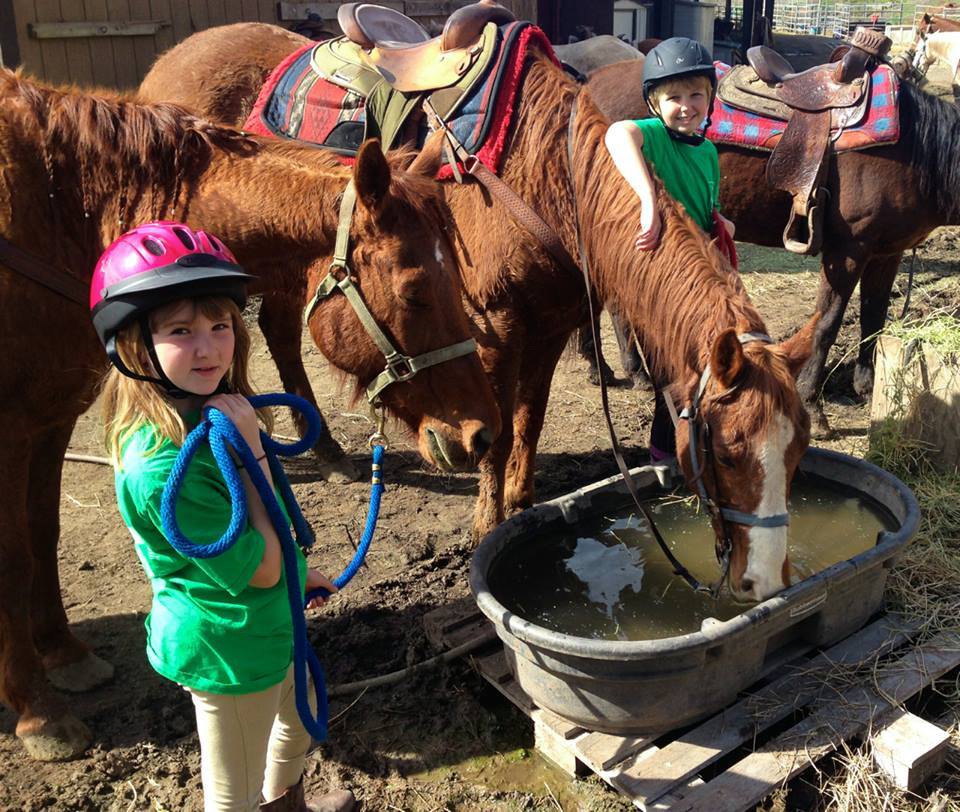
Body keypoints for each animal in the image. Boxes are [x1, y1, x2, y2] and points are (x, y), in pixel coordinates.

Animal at [0, 70, 496, 760]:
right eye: (416, 290)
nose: (483, 431)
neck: (56, 206)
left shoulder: (49, 419)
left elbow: (41, 533)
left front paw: (65, 656)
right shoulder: (11, 432)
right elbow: (14, 559)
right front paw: (39, 712)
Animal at [141, 17, 816, 604]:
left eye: (798, 451)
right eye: (727, 453)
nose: (765, 580)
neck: (548, 175)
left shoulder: (552, 325)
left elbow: (528, 422)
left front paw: (522, 506)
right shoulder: (494, 329)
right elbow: (496, 432)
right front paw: (488, 527)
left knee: (279, 331)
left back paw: (326, 450)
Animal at [584, 54, 960, 434]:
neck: (915, 150)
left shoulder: (886, 253)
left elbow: (874, 318)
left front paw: (868, 389)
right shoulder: (847, 251)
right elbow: (826, 324)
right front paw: (813, 403)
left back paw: (609, 371)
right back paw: (631, 373)